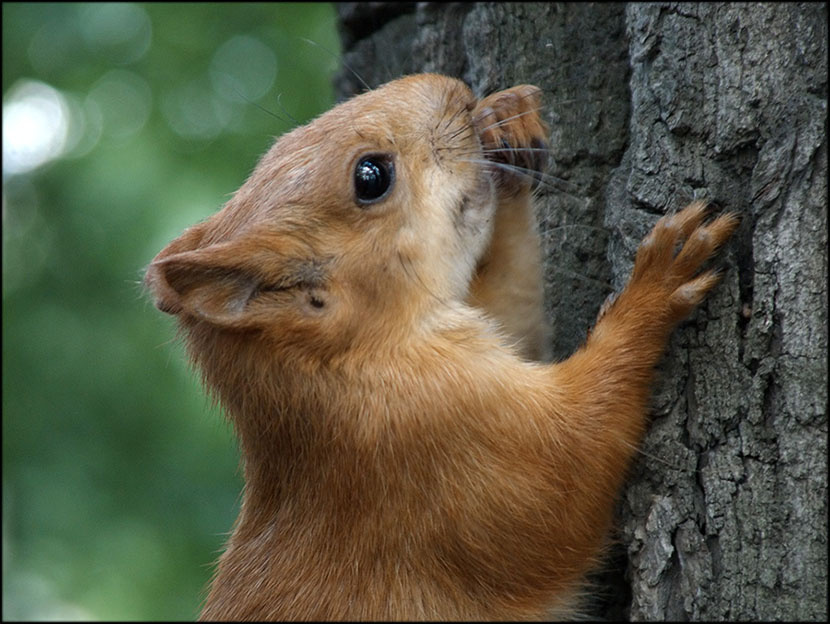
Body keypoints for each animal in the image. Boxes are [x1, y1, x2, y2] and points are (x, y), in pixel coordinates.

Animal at [145, 73, 738, 620]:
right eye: (370, 176)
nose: (453, 88)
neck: (348, 366)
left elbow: (516, 311)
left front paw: (507, 123)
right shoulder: (444, 436)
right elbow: (569, 473)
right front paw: (655, 286)